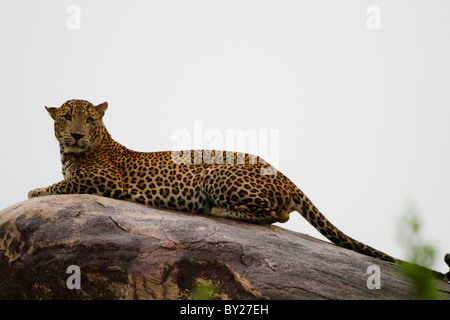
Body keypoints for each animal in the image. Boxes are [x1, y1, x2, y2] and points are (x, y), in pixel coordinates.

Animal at [29, 99, 398, 264]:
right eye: (66, 117)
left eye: (89, 120)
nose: (77, 134)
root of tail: (282, 174)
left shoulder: (104, 181)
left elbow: (62, 185)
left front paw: (36, 190)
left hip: (215, 173)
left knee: (273, 214)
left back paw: (217, 210)